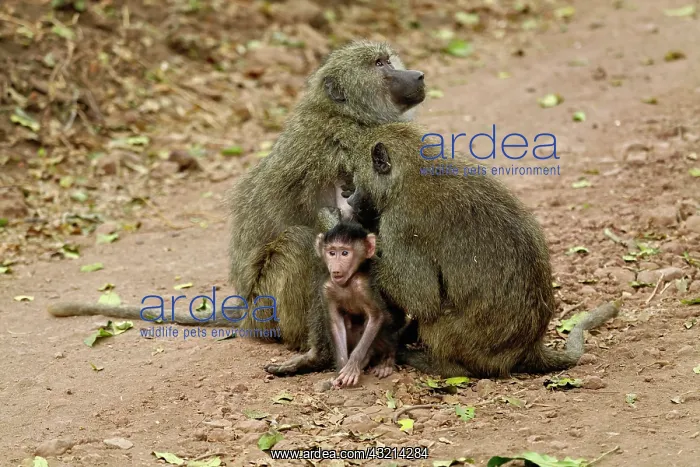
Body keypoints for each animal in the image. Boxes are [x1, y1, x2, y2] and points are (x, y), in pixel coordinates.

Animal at [45, 40, 425, 333]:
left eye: (388, 59)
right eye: (379, 64)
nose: (418, 76)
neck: (347, 114)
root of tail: (244, 305)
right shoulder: (352, 144)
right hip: (266, 303)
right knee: (298, 243)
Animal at [316, 221, 400, 387]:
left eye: (345, 253)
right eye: (332, 253)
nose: (336, 269)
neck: (347, 283)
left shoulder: (364, 286)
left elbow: (376, 317)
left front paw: (352, 366)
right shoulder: (327, 288)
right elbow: (336, 323)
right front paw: (341, 369)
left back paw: (385, 360)